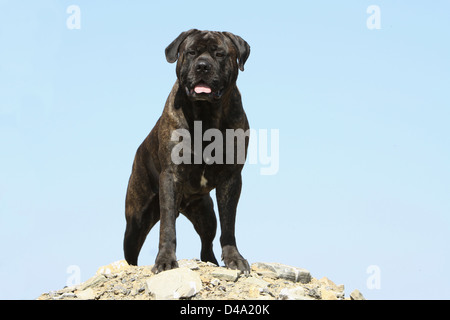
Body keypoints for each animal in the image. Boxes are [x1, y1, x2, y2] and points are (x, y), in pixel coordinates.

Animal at [123, 30, 250, 274]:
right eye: (191, 52)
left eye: (219, 54)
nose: (202, 66)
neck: (205, 114)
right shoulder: (171, 176)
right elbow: (167, 228)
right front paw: (165, 260)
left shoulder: (231, 177)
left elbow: (228, 224)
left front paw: (234, 258)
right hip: (136, 220)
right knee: (131, 252)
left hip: (205, 214)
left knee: (206, 245)